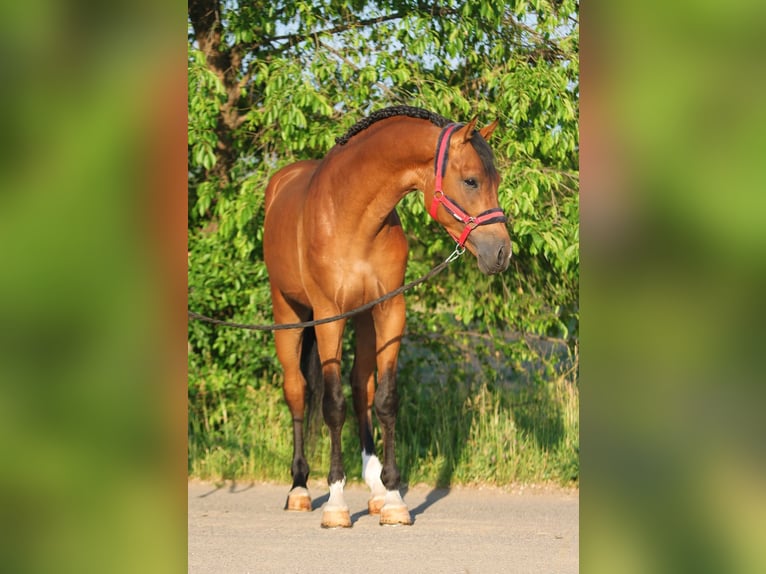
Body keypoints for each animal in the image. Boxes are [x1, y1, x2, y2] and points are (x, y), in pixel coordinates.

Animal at [262, 106, 510, 528]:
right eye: (471, 180)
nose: (501, 253)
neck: (352, 216)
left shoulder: (390, 310)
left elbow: (385, 399)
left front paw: (393, 498)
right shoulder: (329, 315)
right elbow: (333, 405)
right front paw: (336, 503)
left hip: (362, 320)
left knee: (362, 386)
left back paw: (375, 489)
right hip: (289, 313)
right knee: (297, 391)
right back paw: (299, 488)